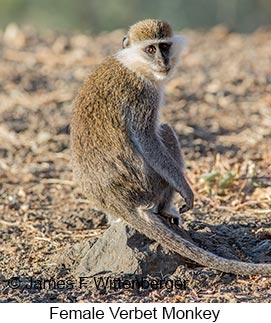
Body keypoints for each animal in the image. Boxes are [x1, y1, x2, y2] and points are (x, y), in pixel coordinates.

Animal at [71, 19, 271, 274]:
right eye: (150, 49)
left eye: (164, 46)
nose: (162, 62)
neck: (133, 64)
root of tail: (118, 202)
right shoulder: (143, 94)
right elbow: (146, 138)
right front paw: (186, 190)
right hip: (151, 186)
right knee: (165, 130)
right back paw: (166, 208)